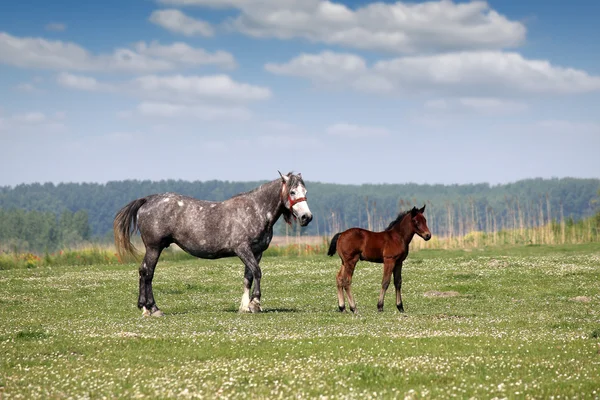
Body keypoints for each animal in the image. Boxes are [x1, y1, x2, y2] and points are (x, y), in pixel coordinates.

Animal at [111, 172, 314, 316]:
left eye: (305, 192)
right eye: (292, 192)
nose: (307, 217)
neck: (255, 210)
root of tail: (148, 200)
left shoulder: (257, 252)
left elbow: (248, 277)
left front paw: (244, 307)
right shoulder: (242, 249)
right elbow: (257, 272)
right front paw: (255, 303)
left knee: (143, 271)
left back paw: (144, 307)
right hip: (154, 247)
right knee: (147, 273)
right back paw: (153, 308)